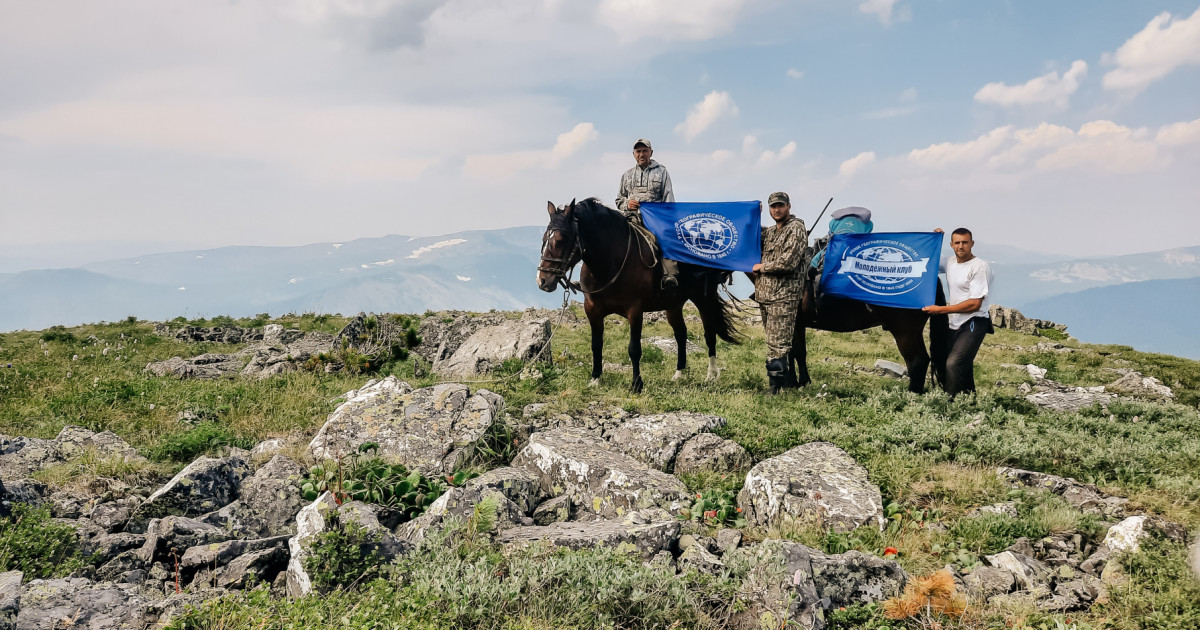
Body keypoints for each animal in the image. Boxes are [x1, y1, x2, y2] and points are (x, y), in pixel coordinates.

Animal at [537, 198, 739, 393]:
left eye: (561, 240)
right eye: (544, 239)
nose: (543, 281)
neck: (610, 263)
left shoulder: (634, 310)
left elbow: (634, 349)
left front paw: (636, 385)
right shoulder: (592, 311)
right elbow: (596, 345)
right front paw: (595, 379)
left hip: (703, 297)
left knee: (709, 332)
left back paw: (711, 374)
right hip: (673, 305)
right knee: (681, 334)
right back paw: (679, 373)